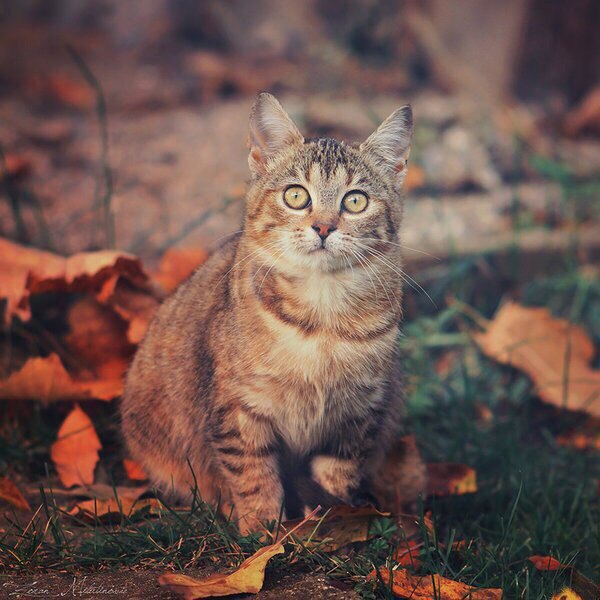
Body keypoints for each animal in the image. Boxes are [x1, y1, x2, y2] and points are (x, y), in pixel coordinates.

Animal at [120, 91, 426, 532]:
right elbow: (253, 475)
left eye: (355, 200)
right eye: (296, 196)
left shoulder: (359, 413)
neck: (322, 317)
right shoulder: (237, 408)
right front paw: (263, 530)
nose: (323, 227)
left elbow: (338, 474)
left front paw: (335, 520)